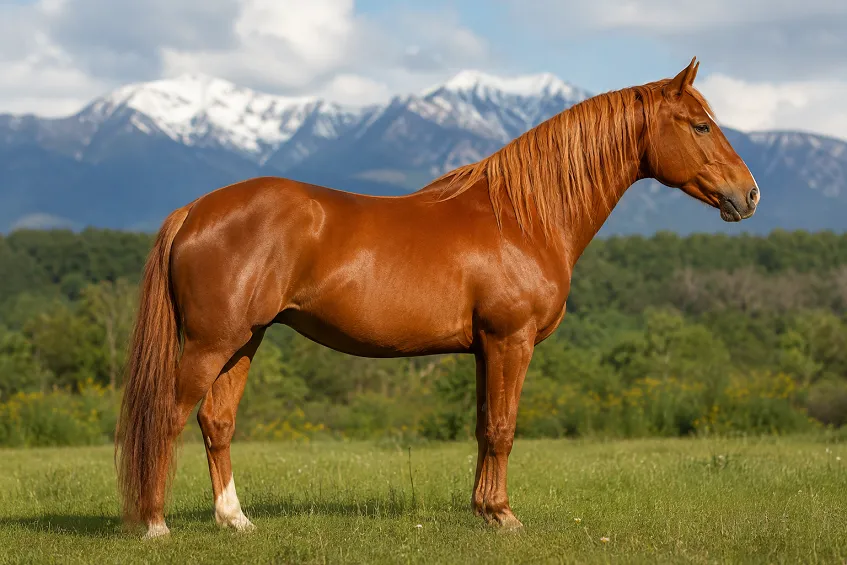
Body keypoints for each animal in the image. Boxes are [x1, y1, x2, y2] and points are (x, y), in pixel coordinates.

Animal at [116, 57, 760, 538]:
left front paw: (484, 510)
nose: (749, 194)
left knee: (215, 421)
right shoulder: (510, 340)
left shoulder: (484, 348)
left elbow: (483, 426)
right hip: (210, 342)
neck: (521, 218)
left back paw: (235, 520)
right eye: (700, 126)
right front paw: (504, 516)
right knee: (168, 417)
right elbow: (502, 427)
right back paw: (154, 524)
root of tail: (196, 209)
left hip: (244, 341)